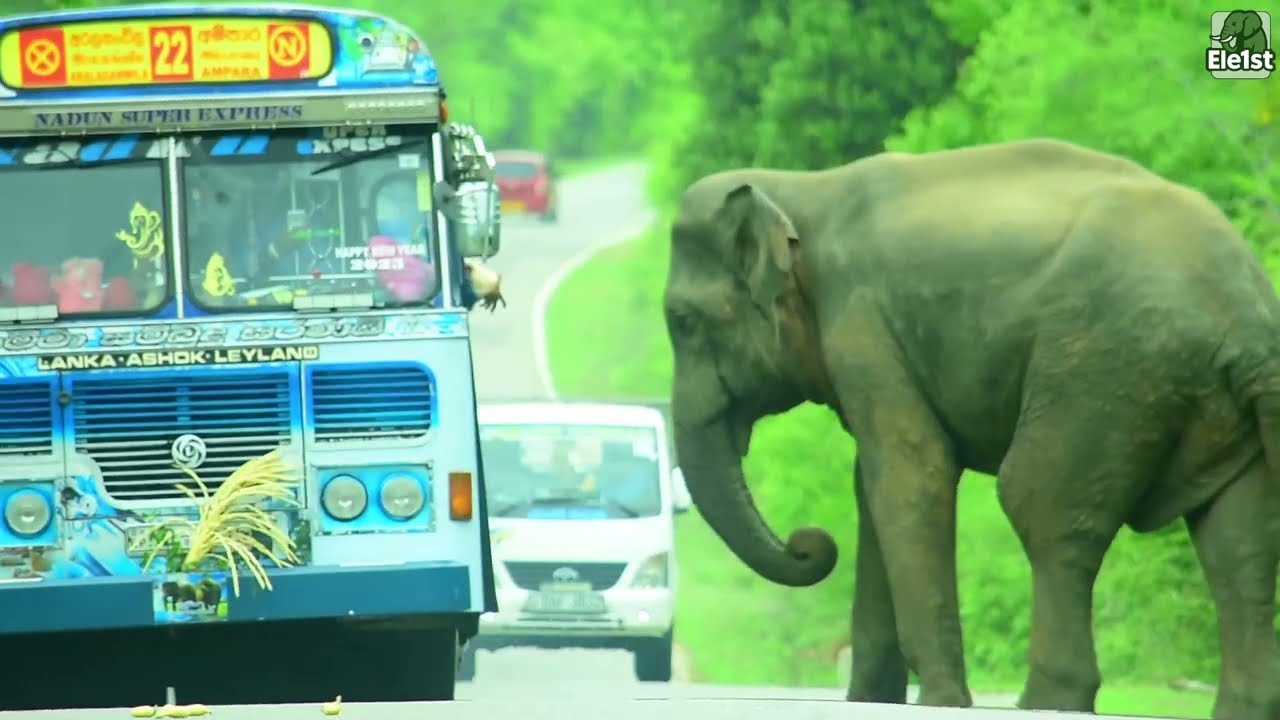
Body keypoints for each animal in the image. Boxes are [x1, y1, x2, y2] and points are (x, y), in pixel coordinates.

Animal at [663, 138, 1280, 720]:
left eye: (682, 322)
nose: (808, 542)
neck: (802, 190)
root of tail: (1251, 319)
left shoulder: (861, 320)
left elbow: (911, 473)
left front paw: (939, 701)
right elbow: (872, 484)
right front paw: (871, 699)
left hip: (1105, 371)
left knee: (1044, 509)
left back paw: (1047, 701)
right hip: (1201, 400)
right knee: (1237, 538)